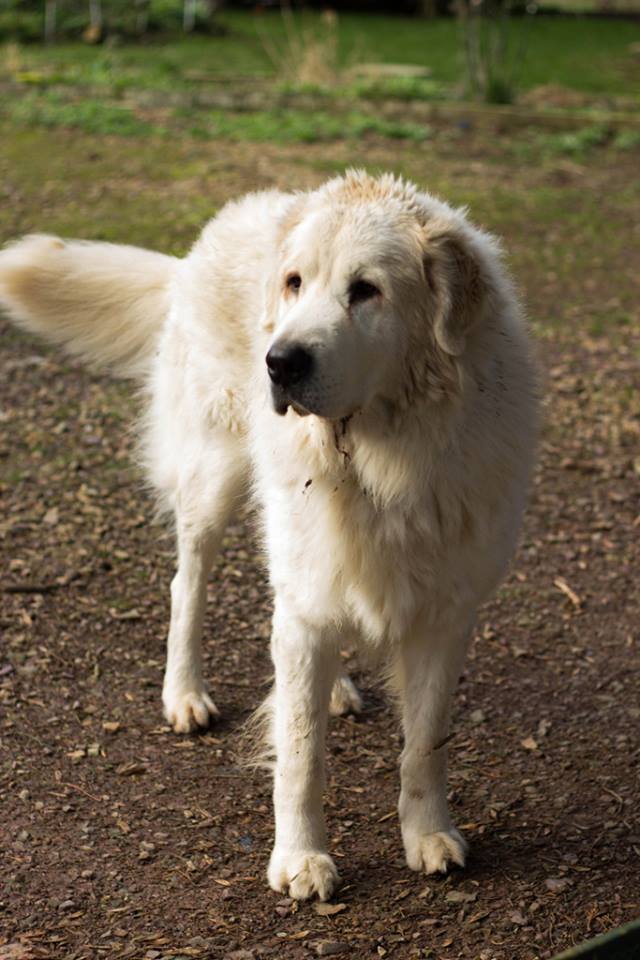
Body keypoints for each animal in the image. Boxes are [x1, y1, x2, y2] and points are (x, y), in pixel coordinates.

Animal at [0, 172, 540, 900]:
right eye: (294, 283)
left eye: (366, 290)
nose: (279, 363)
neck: (382, 460)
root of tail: (203, 243)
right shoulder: (311, 592)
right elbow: (301, 756)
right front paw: (300, 858)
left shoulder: (445, 612)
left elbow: (426, 743)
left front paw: (428, 835)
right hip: (214, 481)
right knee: (187, 586)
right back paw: (185, 693)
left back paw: (332, 688)